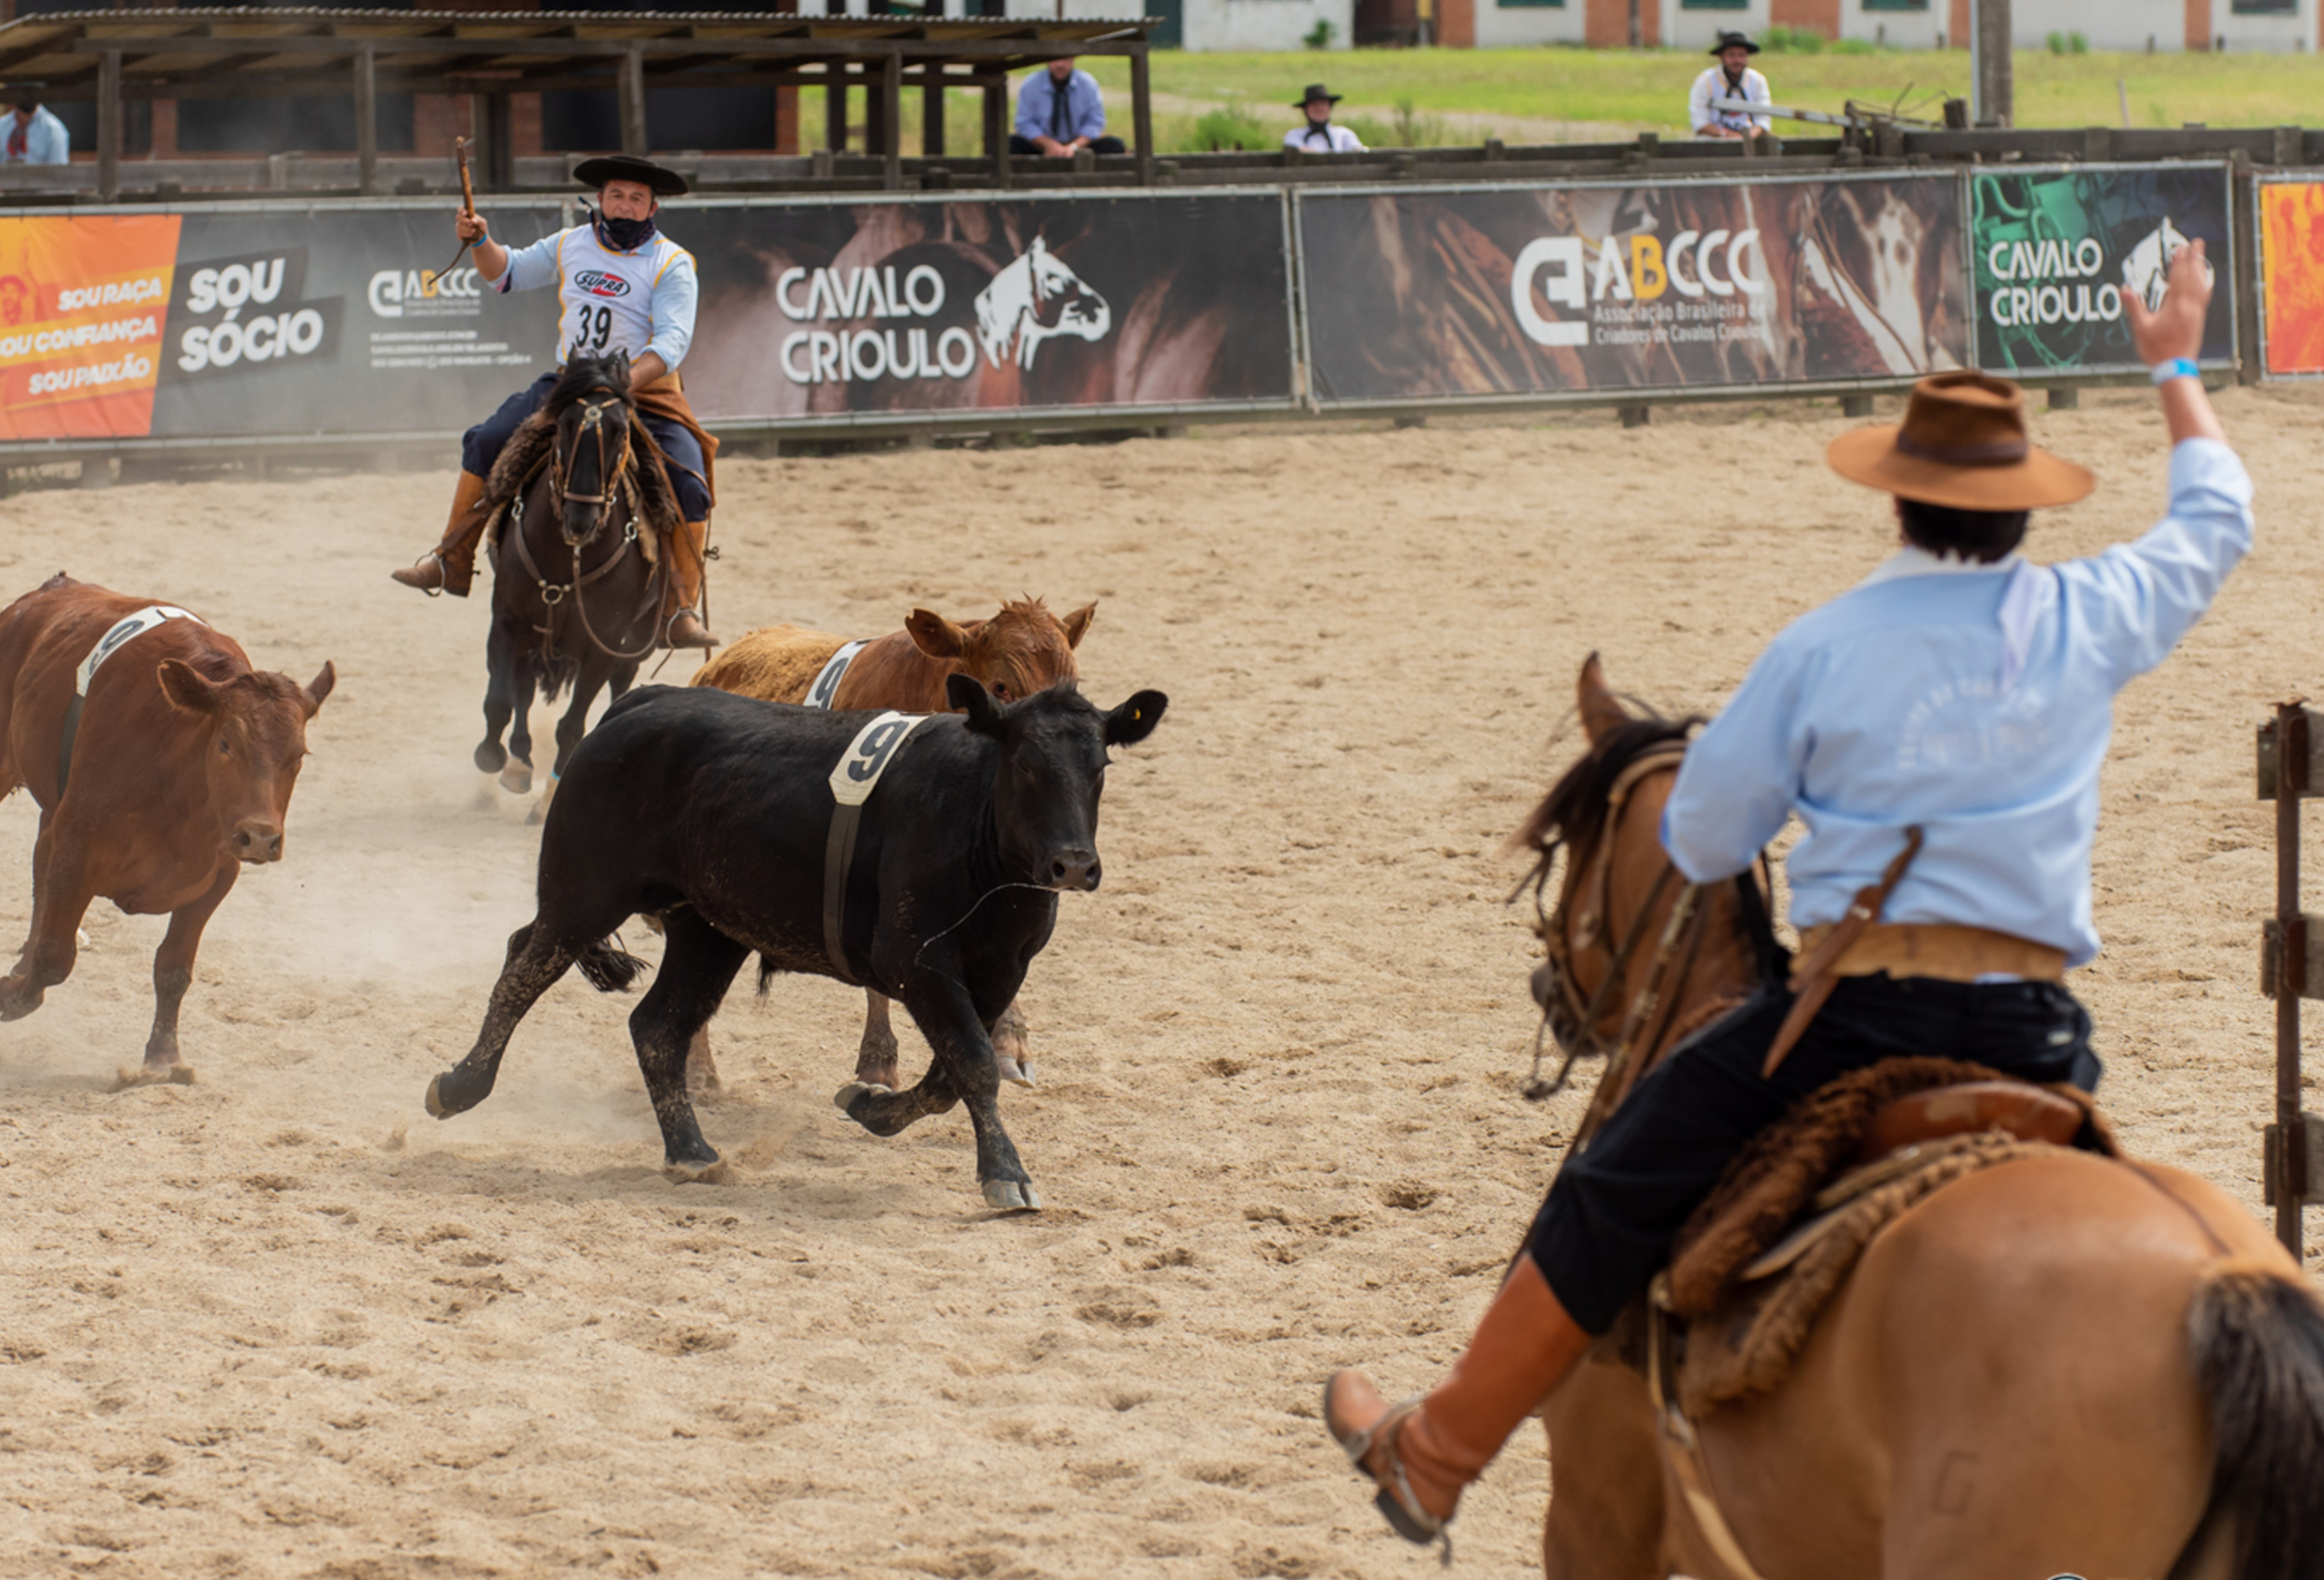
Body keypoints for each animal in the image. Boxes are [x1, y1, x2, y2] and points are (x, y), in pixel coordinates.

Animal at [0, 576, 339, 1087]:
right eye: (226, 743)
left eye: (299, 755)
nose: (260, 837)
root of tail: (49, 589)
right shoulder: (76, 847)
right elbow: (55, 957)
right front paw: (11, 995)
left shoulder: (217, 875)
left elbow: (173, 968)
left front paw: (162, 1058)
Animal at [418, 669, 1162, 1208]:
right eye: (1025, 764)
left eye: (1099, 766)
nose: (1073, 864)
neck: (978, 831)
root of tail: (638, 703)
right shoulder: (916, 960)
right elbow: (973, 1062)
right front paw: (1006, 1173)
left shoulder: (1001, 971)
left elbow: (948, 1075)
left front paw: (871, 1106)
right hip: (583, 892)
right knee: (523, 969)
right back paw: (458, 1086)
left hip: (707, 931)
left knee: (657, 1025)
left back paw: (691, 1152)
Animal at [471, 355, 674, 823]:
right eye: (563, 425)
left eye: (621, 431)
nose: (581, 519)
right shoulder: (507, 622)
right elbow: (500, 699)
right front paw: (493, 757)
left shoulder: (603, 646)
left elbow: (572, 724)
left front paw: (549, 799)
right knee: (523, 689)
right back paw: (517, 763)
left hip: (635, 643)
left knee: (620, 686)